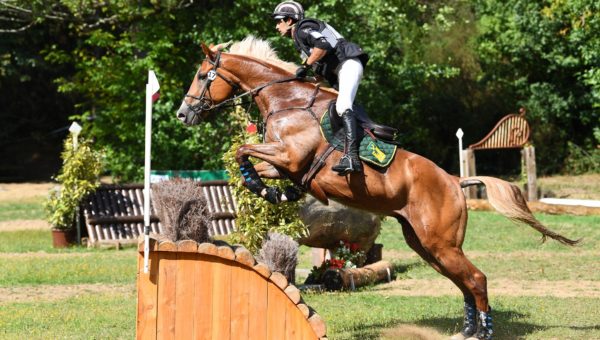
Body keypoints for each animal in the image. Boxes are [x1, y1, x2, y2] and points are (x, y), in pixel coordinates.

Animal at [176, 35, 580, 338]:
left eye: (202, 75)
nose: (183, 114)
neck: (286, 102)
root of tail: (454, 180)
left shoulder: (290, 157)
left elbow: (241, 150)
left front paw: (261, 187)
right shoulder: (284, 164)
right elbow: (249, 159)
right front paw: (270, 191)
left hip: (440, 243)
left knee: (476, 279)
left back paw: (483, 332)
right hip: (427, 245)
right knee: (464, 282)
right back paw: (467, 330)